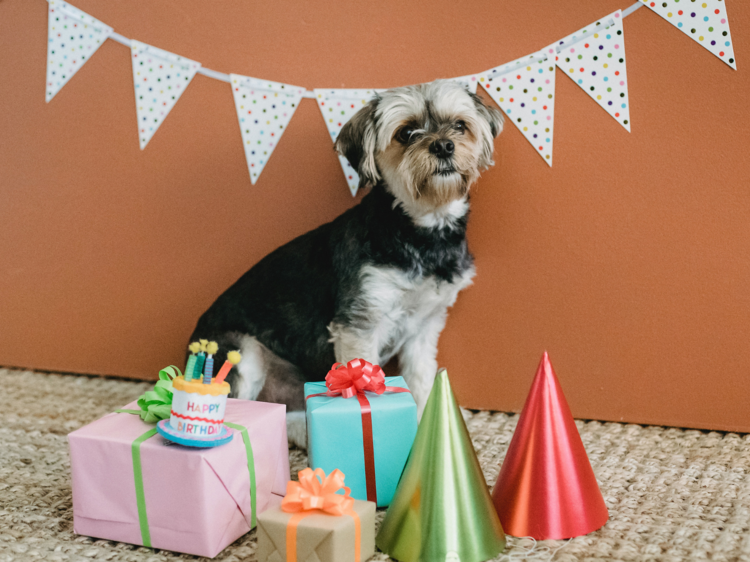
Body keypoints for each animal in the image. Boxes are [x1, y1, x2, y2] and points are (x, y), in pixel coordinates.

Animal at [191, 79, 502, 446]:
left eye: (459, 125)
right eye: (406, 132)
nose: (443, 145)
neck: (421, 231)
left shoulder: (424, 326)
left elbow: (422, 379)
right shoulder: (360, 323)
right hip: (241, 351)